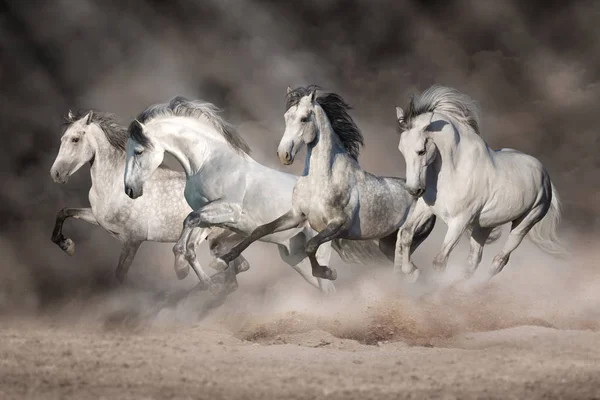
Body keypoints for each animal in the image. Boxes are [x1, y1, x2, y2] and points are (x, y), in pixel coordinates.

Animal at [48, 111, 250, 282]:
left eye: (75, 139)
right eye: (62, 138)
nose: (56, 174)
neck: (114, 185)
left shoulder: (133, 240)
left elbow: (120, 274)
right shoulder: (98, 218)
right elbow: (64, 211)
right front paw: (67, 245)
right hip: (218, 241)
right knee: (237, 265)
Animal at [213, 87, 434, 282]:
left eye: (304, 118)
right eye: (286, 117)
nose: (284, 154)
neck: (321, 180)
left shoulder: (338, 225)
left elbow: (311, 245)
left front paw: (326, 272)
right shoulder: (296, 215)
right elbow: (260, 230)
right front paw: (222, 260)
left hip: (408, 238)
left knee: (412, 270)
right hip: (387, 244)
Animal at [394, 86, 568, 280]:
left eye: (421, 150)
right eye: (401, 150)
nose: (414, 190)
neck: (455, 171)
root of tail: (545, 175)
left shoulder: (459, 221)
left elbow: (439, 261)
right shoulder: (426, 208)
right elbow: (406, 234)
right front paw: (411, 271)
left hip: (524, 223)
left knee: (499, 260)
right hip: (484, 226)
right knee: (473, 260)